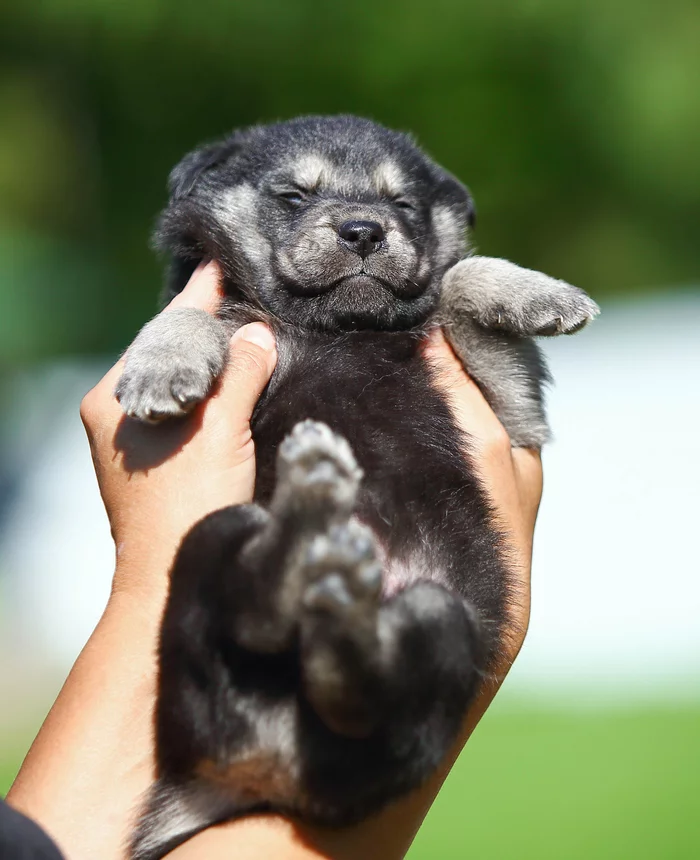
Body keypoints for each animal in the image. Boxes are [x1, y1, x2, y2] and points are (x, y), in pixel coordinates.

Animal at [117, 116, 600, 860]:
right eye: (293, 196)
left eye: (403, 204)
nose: (364, 231)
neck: (333, 327)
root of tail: (263, 770)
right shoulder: (222, 307)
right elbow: (189, 315)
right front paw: (160, 364)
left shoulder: (514, 419)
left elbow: (458, 277)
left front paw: (541, 295)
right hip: (213, 541)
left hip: (439, 623)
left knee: (359, 694)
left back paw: (338, 602)